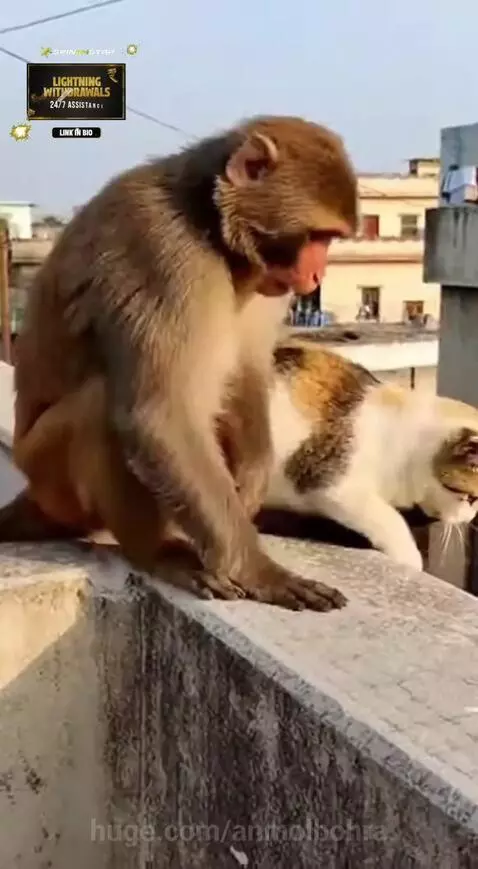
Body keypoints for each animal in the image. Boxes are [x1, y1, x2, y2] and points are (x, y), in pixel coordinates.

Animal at [1, 115, 357, 611]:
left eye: (330, 240)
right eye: (317, 237)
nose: (317, 274)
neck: (210, 226)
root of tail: (31, 486)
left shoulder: (266, 284)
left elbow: (246, 367)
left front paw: (254, 476)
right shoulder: (160, 251)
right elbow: (160, 414)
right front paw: (258, 570)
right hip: (50, 475)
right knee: (100, 408)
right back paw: (156, 552)